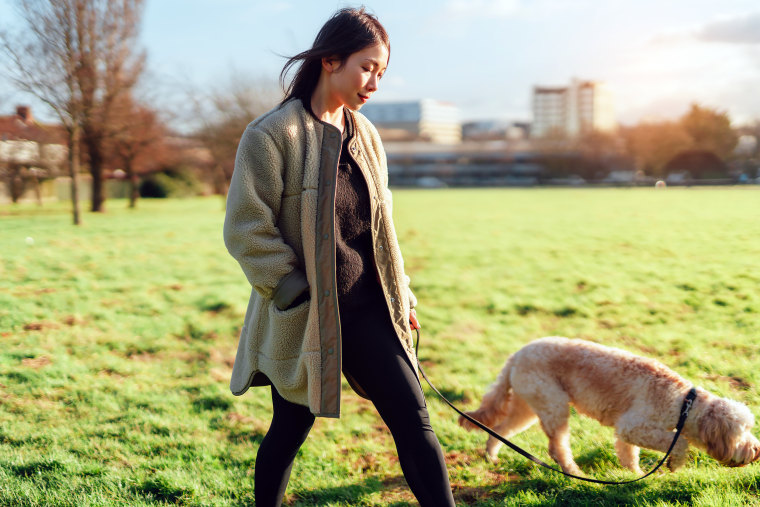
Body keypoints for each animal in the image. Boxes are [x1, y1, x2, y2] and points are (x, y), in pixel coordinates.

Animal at [458, 338, 760, 476]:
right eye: (742, 433)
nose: (756, 451)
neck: (684, 403)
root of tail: (517, 354)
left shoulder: (626, 433)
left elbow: (628, 455)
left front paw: (635, 475)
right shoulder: (633, 427)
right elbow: (679, 442)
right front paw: (674, 464)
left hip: (528, 408)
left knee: (499, 430)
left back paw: (492, 456)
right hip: (554, 407)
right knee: (557, 448)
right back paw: (573, 473)